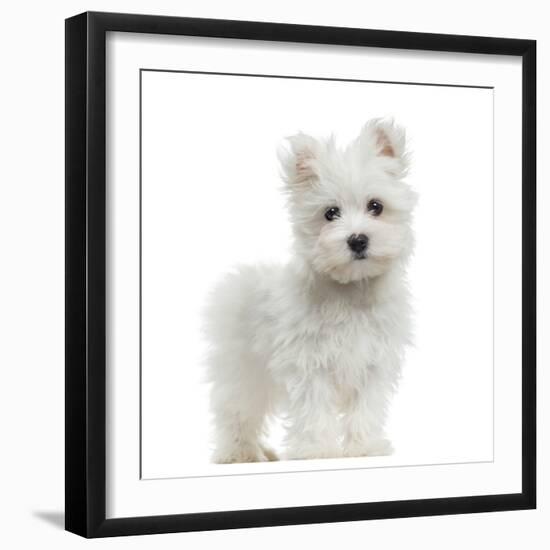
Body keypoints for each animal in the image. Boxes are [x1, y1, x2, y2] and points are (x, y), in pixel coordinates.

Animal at [205, 118, 416, 464]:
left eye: (376, 206)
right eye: (330, 213)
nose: (358, 240)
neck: (350, 291)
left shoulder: (373, 363)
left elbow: (365, 409)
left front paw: (365, 447)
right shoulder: (310, 363)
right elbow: (314, 409)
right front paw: (317, 451)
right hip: (244, 371)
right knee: (236, 412)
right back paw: (240, 453)